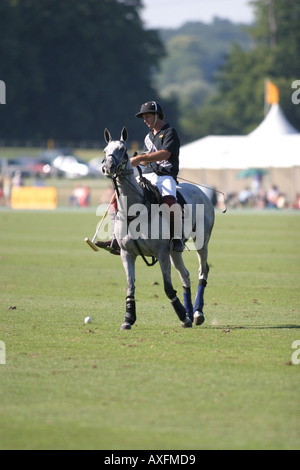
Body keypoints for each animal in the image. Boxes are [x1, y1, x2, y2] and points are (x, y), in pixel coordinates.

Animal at [102, 126, 214, 328]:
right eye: (105, 150)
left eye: (123, 150)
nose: (107, 167)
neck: (133, 210)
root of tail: (201, 191)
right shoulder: (126, 253)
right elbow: (130, 285)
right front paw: (128, 318)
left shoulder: (161, 252)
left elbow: (168, 287)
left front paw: (182, 315)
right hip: (174, 251)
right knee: (185, 275)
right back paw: (189, 311)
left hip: (202, 241)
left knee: (203, 270)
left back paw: (197, 313)